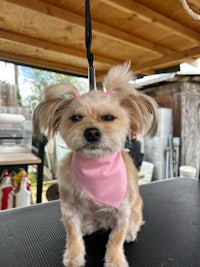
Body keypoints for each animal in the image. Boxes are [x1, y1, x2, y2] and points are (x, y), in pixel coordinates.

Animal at [33, 62, 158, 267]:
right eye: (76, 117)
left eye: (109, 117)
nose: (91, 132)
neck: (96, 167)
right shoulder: (70, 210)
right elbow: (73, 234)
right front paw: (74, 257)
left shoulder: (122, 212)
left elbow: (116, 238)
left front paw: (115, 260)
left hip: (135, 208)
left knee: (134, 223)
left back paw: (131, 232)